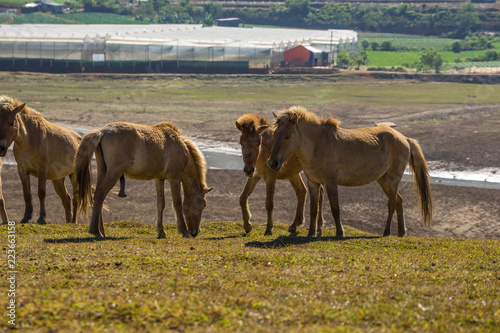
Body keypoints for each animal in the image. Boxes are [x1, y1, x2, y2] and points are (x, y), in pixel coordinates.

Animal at [75, 120, 213, 237]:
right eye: (203, 205)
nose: (196, 231)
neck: (179, 147)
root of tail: (103, 132)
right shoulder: (174, 177)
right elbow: (177, 203)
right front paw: (184, 231)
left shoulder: (160, 179)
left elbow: (160, 204)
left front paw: (161, 232)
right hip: (114, 172)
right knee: (100, 194)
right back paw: (95, 231)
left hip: (103, 170)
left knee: (98, 196)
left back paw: (101, 231)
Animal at [268, 105, 432, 236]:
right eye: (274, 134)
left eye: (287, 136)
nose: (272, 162)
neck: (317, 145)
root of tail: (404, 138)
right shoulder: (313, 183)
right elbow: (313, 209)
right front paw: (311, 233)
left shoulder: (330, 182)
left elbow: (335, 208)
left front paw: (340, 233)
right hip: (383, 179)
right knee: (398, 201)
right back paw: (401, 232)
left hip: (392, 180)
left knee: (392, 203)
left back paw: (386, 232)